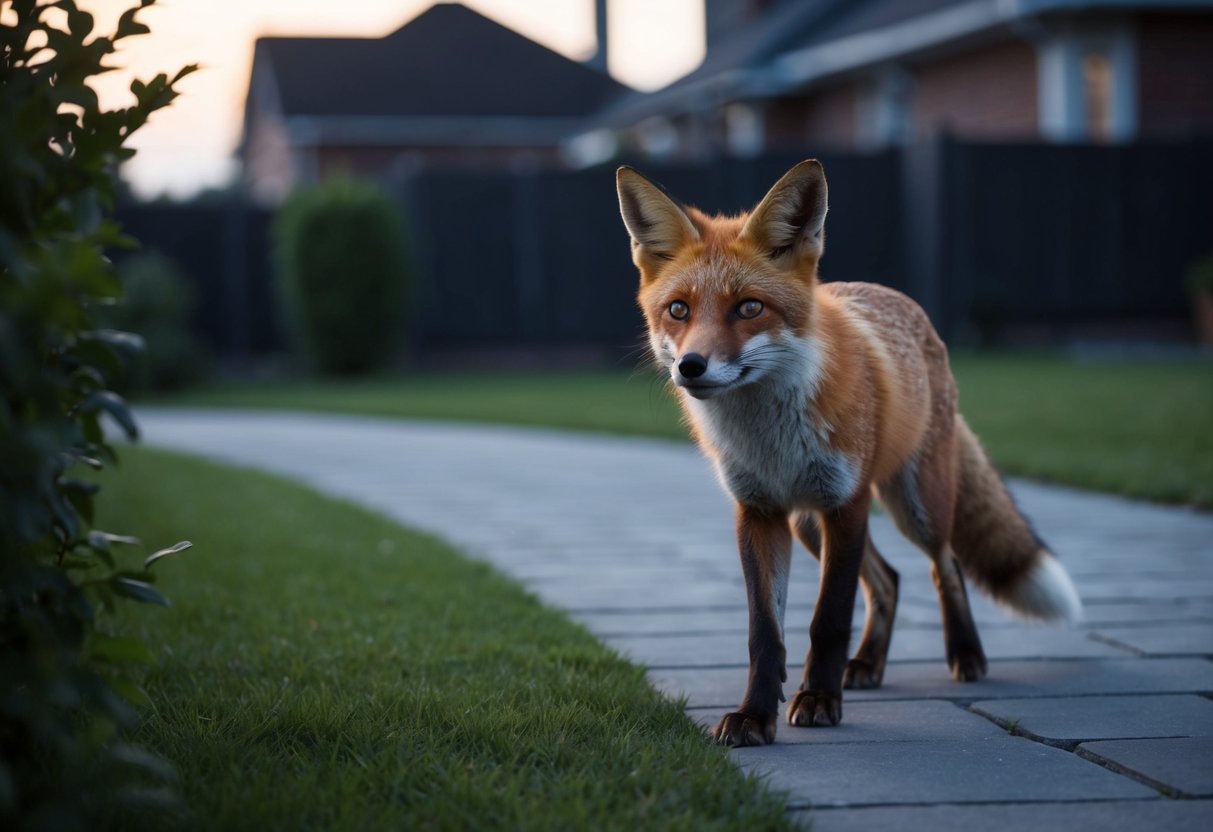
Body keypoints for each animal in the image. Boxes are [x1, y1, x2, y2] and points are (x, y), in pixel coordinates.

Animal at [615, 160, 1082, 747]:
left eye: (749, 307)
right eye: (678, 310)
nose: (691, 366)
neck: (769, 436)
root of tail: (896, 298)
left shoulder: (846, 502)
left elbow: (828, 618)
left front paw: (818, 699)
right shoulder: (759, 512)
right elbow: (764, 633)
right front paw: (755, 714)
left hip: (913, 505)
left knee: (944, 565)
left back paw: (966, 653)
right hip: (808, 526)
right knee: (889, 579)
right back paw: (868, 666)